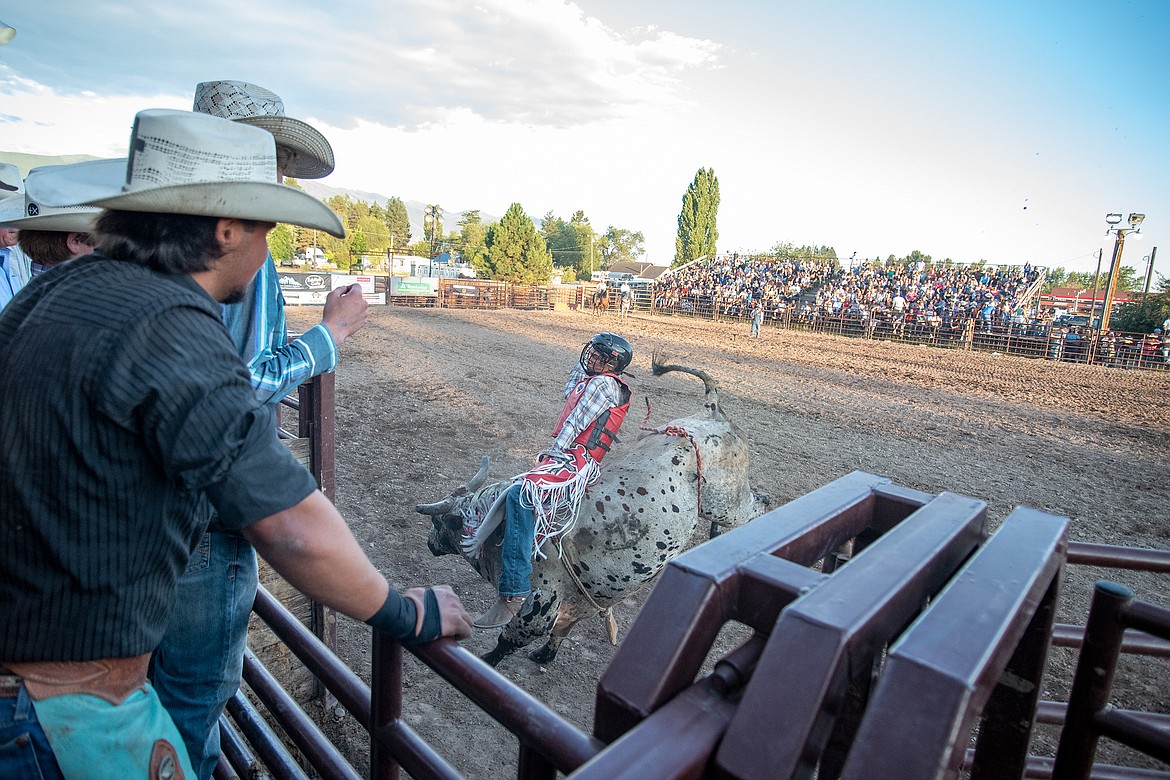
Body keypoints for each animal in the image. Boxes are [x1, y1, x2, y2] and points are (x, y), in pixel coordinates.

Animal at [418, 357, 767, 668]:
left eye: (439, 522)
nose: (429, 544)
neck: (495, 530)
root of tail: (710, 410)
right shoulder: (580, 603)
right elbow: (561, 631)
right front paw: (544, 656)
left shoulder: (539, 604)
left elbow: (509, 640)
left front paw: (486, 661)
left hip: (728, 502)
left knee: (759, 503)